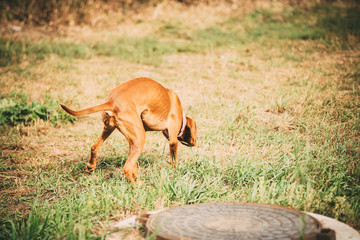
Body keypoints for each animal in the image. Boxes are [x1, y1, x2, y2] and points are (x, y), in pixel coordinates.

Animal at [61, 78, 197, 185]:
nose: (195, 143)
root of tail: (112, 101)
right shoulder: (173, 141)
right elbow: (174, 161)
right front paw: (175, 172)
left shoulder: (133, 139)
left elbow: (134, 164)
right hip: (139, 139)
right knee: (126, 169)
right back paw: (136, 187)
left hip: (114, 130)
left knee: (95, 147)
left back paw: (91, 166)